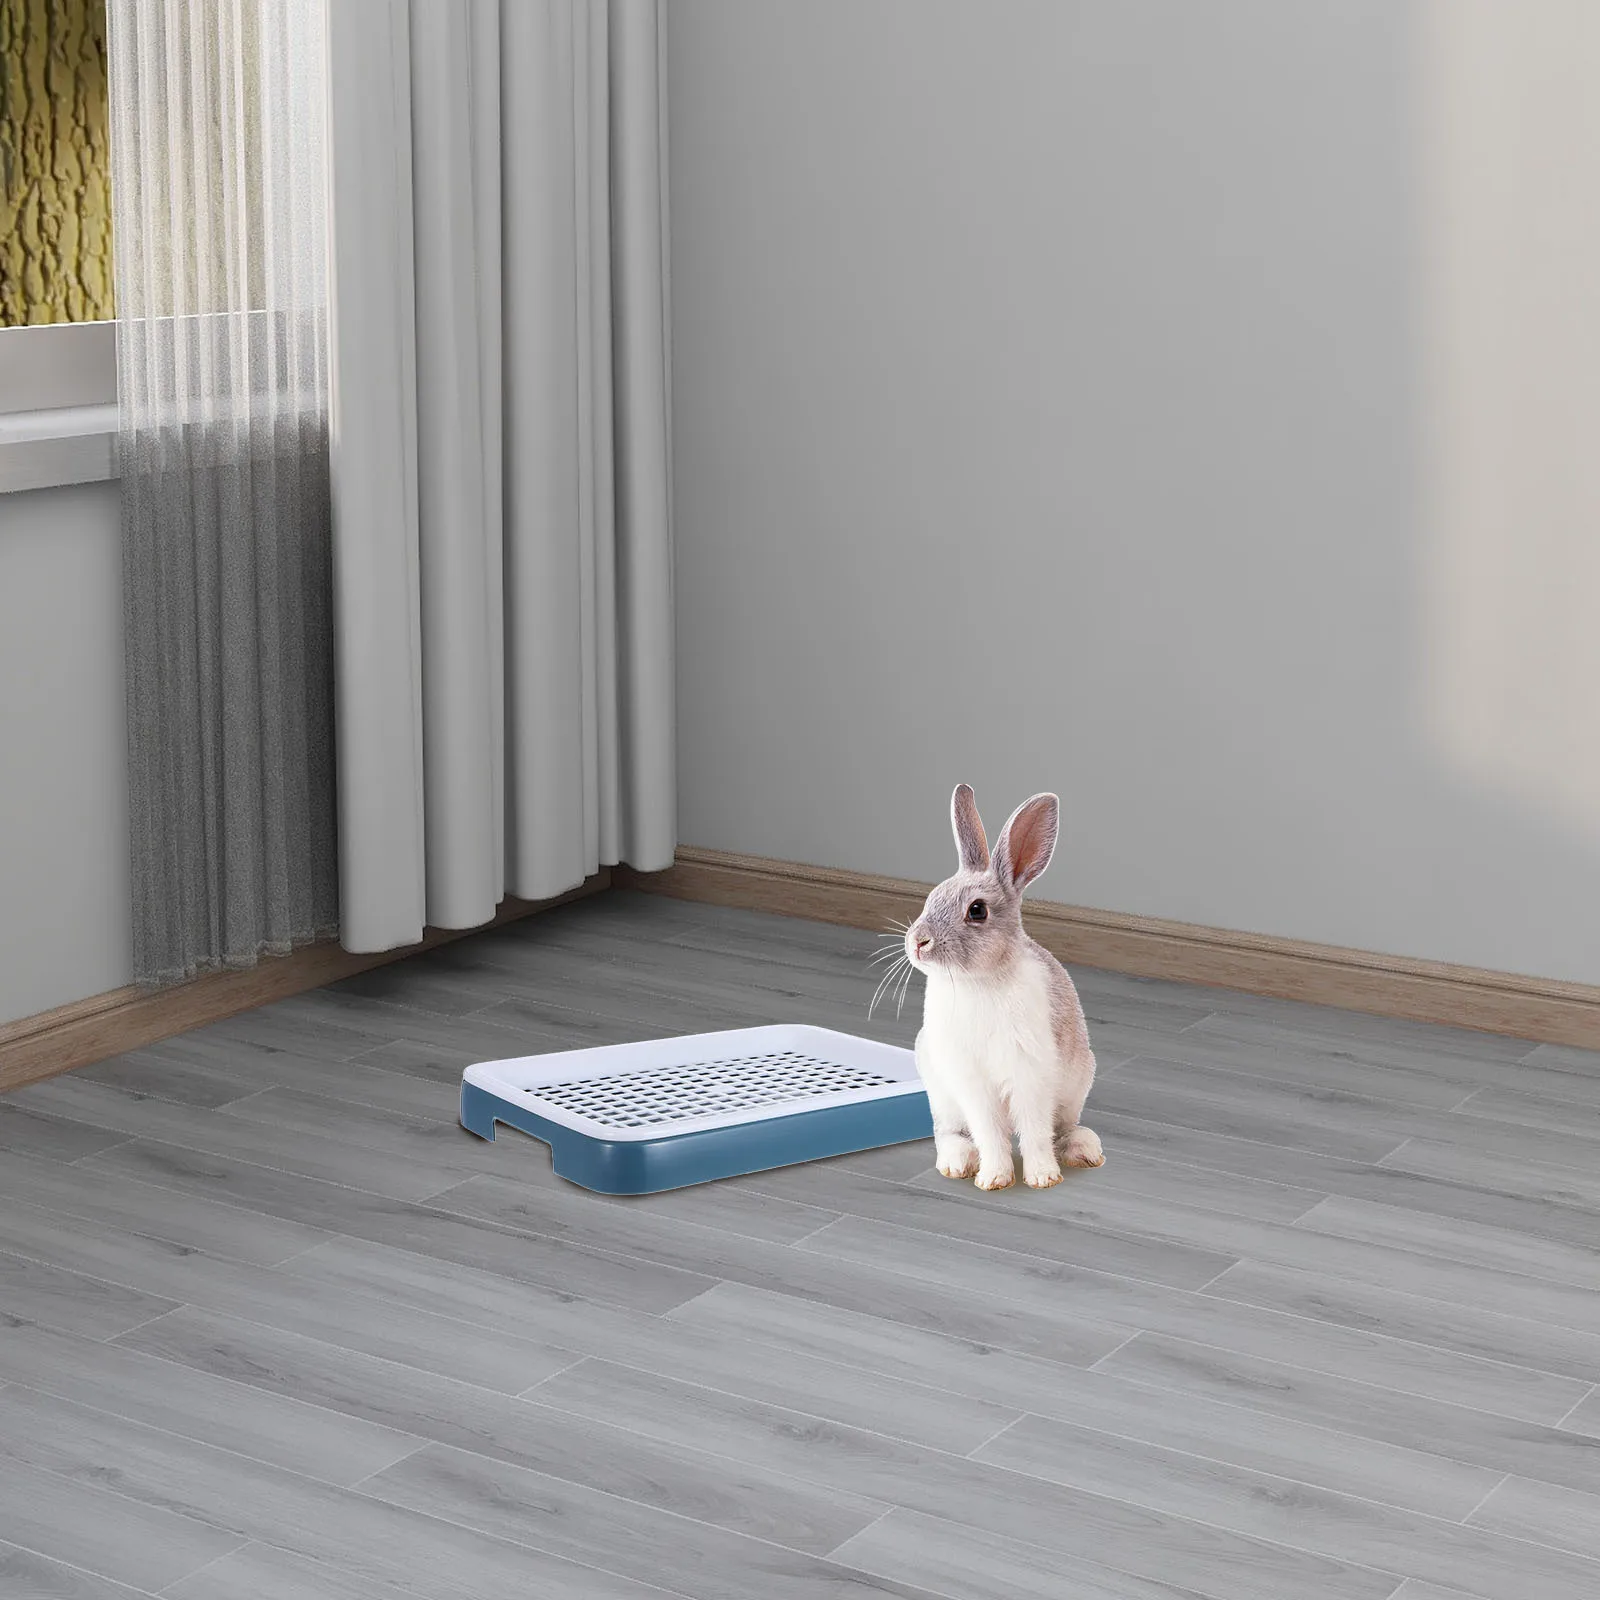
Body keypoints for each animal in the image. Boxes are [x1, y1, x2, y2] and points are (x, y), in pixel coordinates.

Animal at [905, 784, 1104, 1190]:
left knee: (1063, 1128)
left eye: (977, 910)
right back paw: (957, 1164)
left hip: (1077, 1083)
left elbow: (1035, 1130)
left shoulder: (1031, 1073)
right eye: (931, 898)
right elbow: (989, 1132)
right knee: (949, 1133)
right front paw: (994, 1179)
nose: (917, 942)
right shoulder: (972, 1082)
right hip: (941, 1093)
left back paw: (1085, 1151)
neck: (979, 981)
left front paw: (1043, 1178)